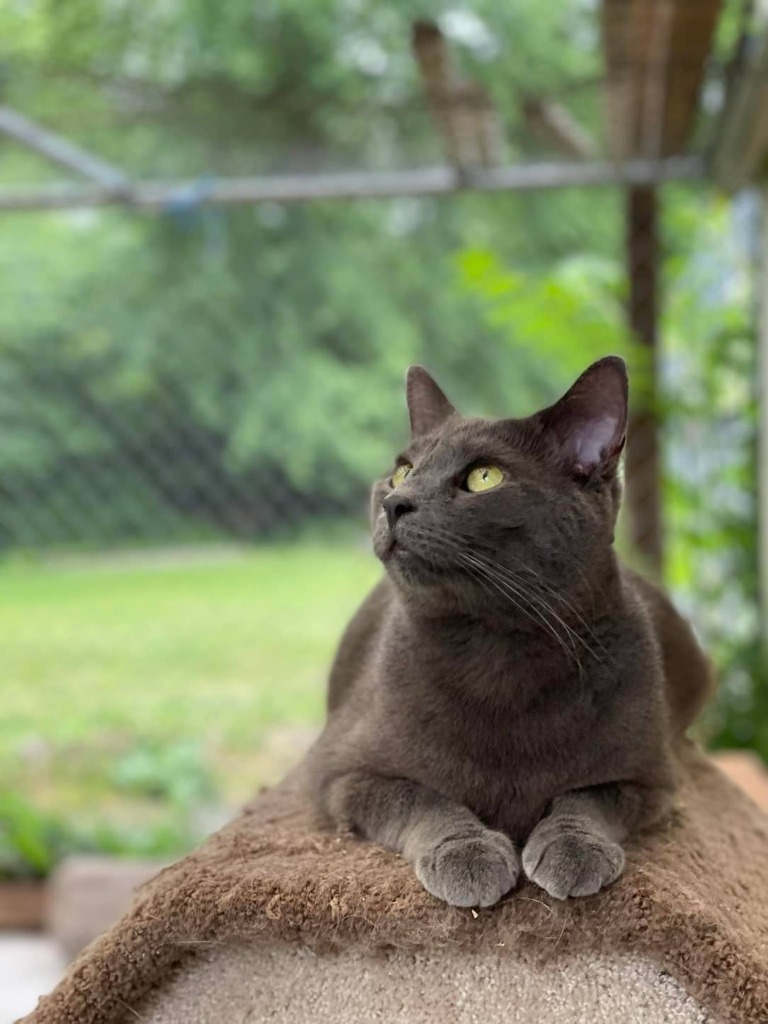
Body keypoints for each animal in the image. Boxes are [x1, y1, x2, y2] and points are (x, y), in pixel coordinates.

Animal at [307, 358, 716, 905]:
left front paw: (572, 848)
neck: (496, 651)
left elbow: (589, 796)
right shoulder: (340, 771)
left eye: (484, 476)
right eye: (402, 471)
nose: (395, 501)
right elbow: (418, 797)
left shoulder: (650, 779)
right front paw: (467, 854)